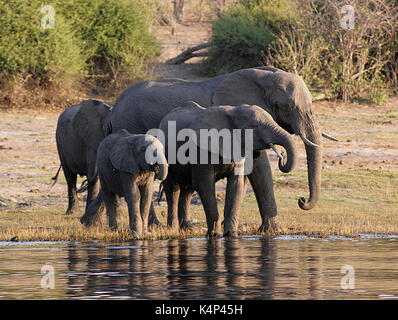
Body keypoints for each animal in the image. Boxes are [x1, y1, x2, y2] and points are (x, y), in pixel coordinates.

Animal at [157, 102, 296, 238]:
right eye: (255, 126)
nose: (282, 155)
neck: (232, 111)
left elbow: (236, 185)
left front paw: (231, 235)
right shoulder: (200, 150)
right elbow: (204, 185)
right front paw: (214, 235)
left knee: (187, 191)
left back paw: (188, 230)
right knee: (173, 190)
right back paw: (173, 230)